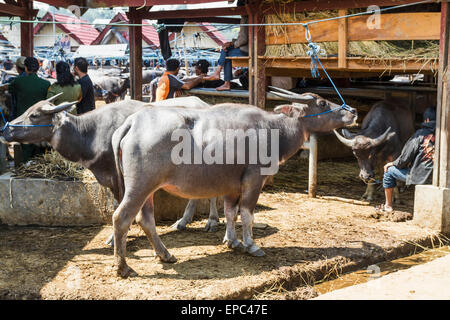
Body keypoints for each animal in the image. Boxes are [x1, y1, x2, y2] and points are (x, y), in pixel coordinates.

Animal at [110, 88, 356, 278]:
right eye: (322, 102)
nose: (352, 111)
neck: (271, 130)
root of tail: (132, 122)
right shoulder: (254, 180)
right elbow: (247, 213)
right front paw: (251, 245)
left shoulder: (231, 186)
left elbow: (230, 212)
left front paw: (231, 240)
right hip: (140, 186)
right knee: (122, 218)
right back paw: (123, 267)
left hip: (149, 189)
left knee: (145, 219)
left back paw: (165, 254)